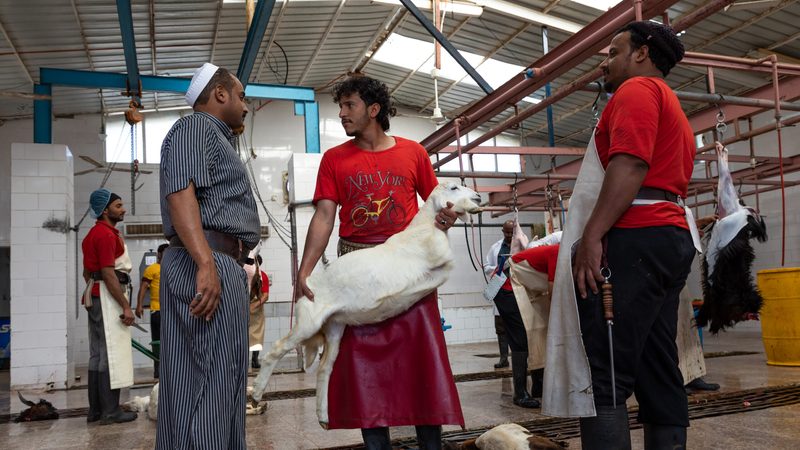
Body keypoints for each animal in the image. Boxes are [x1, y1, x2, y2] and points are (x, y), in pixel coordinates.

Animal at [253, 182, 482, 426]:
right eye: (454, 187)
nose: (478, 197)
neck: (425, 227)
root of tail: (307, 287)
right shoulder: (440, 258)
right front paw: (471, 208)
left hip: (334, 328)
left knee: (324, 369)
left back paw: (323, 416)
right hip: (308, 323)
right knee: (276, 350)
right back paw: (257, 393)